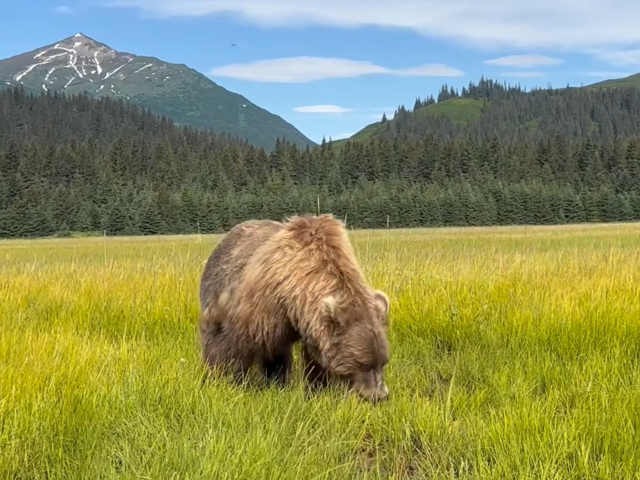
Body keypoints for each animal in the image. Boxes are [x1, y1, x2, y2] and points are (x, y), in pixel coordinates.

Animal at [199, 213, 390, 402]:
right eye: (363, 364)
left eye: (383, 362)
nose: (379, 396)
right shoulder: (262, 309)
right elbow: (234, 348)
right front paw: (227, 382)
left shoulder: (310, 325)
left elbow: (314, 361)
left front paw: (316, 390)